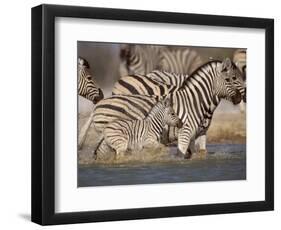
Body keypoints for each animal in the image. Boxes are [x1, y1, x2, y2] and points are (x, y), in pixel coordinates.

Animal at [92, 58, 245, 158]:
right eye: (230, 79)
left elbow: (200, 154)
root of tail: (99, 104)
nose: (239, 98)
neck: (195, 102)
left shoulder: (200, 133)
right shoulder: (185, 133)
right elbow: (180, 155)